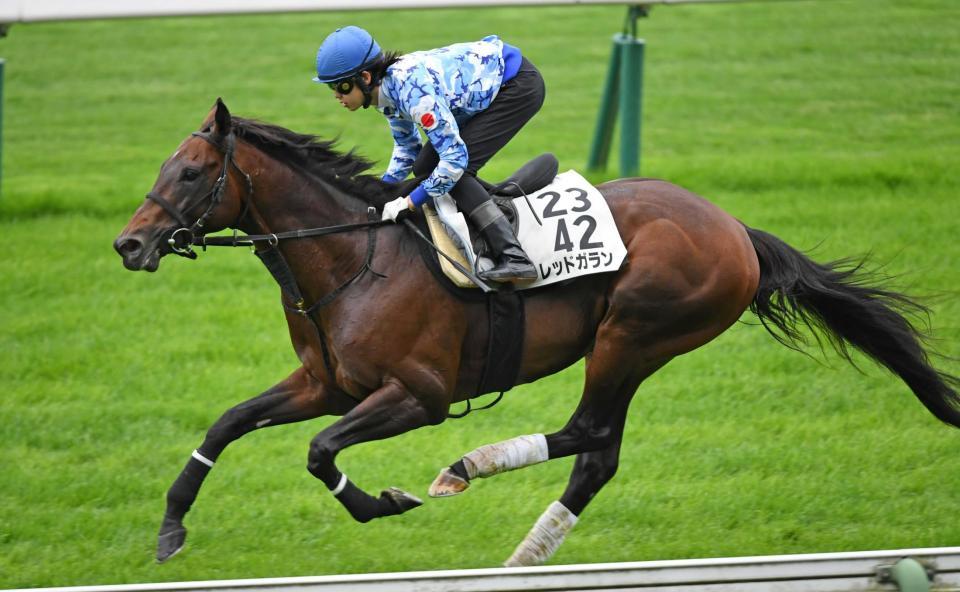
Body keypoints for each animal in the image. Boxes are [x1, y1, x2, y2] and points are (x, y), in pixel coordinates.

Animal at [114, 99, 960, 568]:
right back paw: (523, 555)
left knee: (588, 432)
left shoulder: (417, 396)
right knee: (597, 456)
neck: (353, 257)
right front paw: (170, 528)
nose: (129, 244)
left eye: (191, 173)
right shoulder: (326, 383)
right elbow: (226, 425)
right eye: (164, 166)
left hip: (635, 333)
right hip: (635, 346)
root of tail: (735, 230)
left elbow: (321, 453)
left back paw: (466, 468)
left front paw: (382, 503)